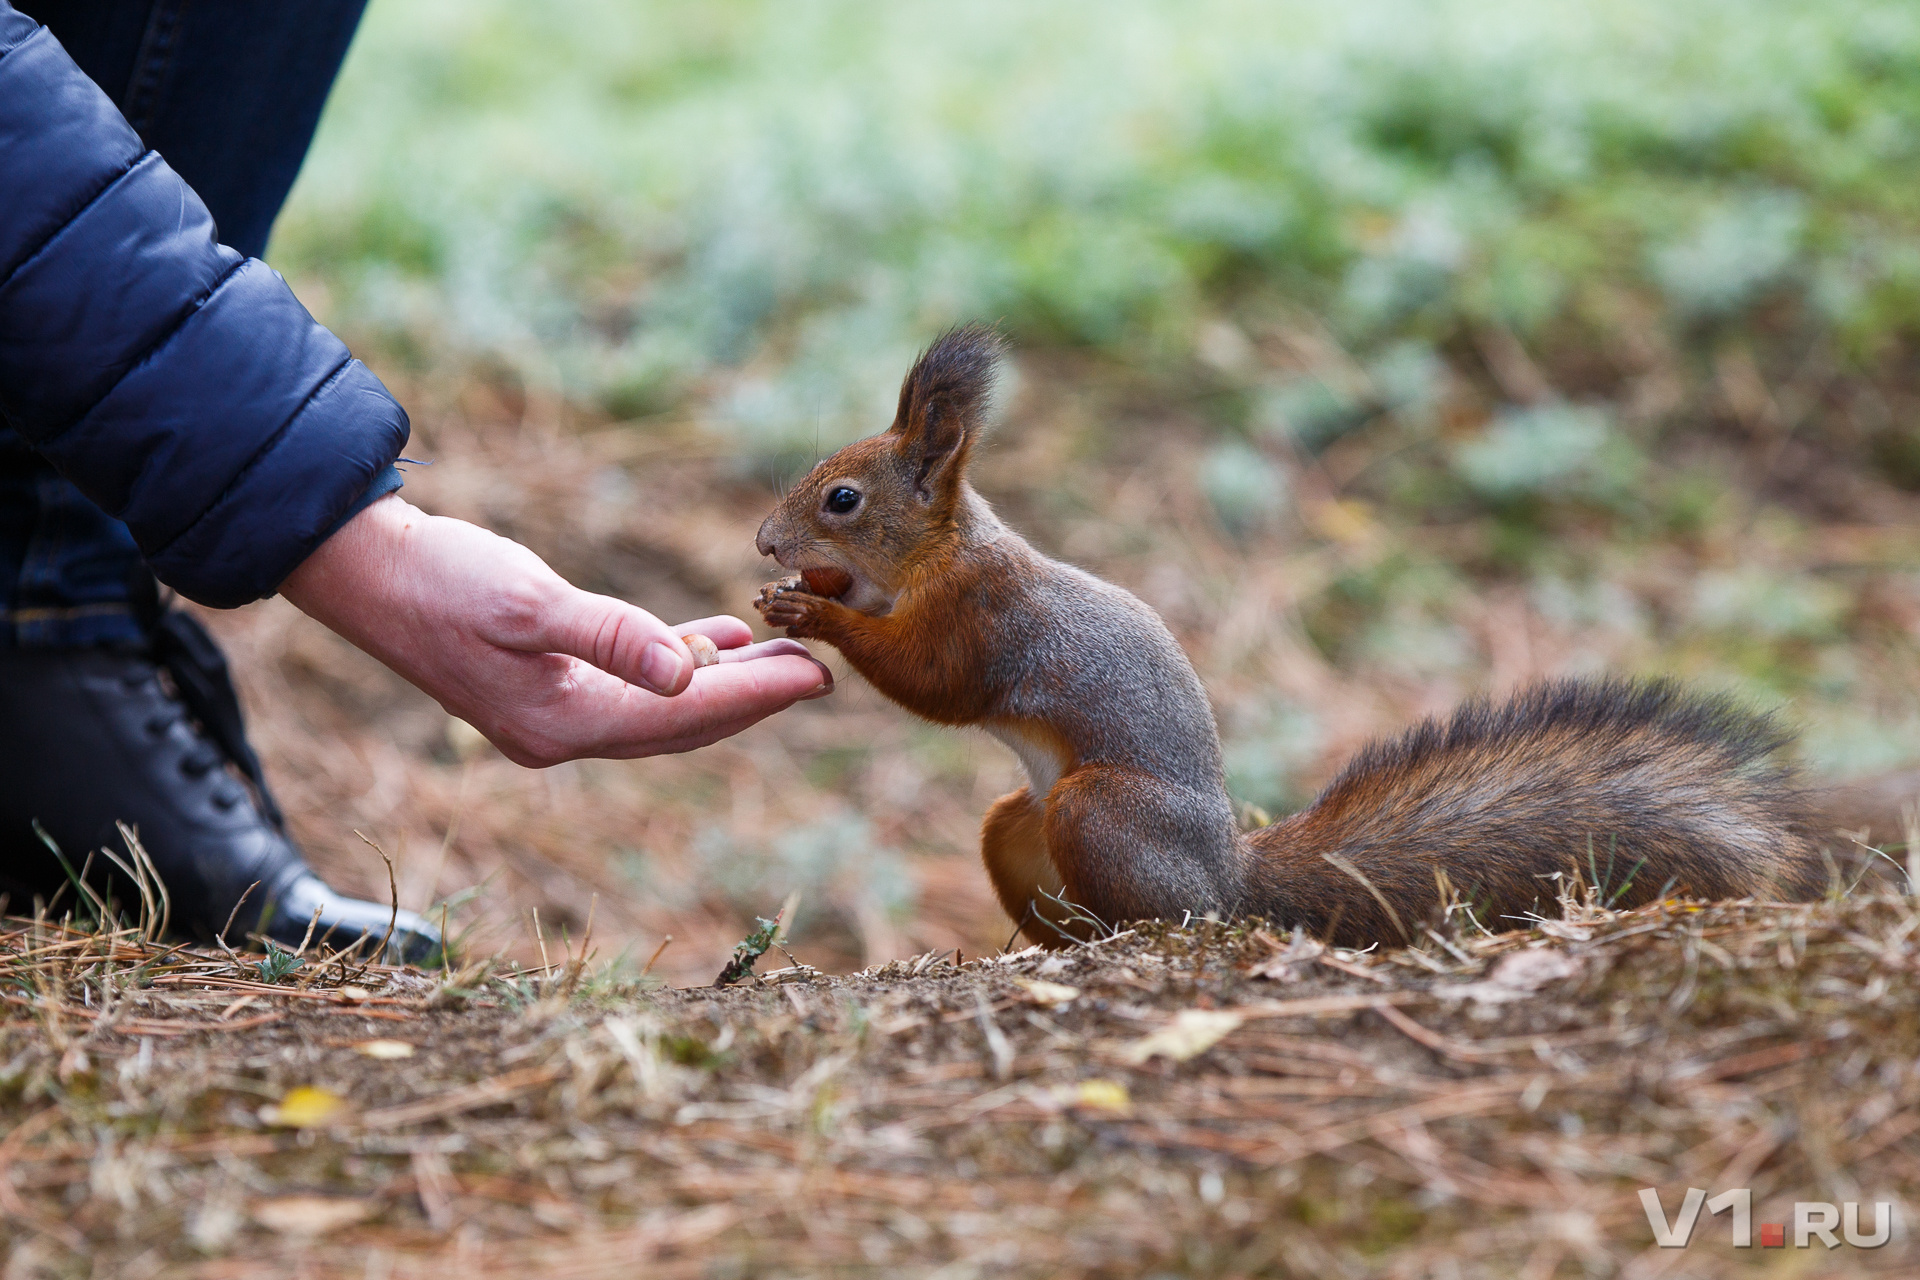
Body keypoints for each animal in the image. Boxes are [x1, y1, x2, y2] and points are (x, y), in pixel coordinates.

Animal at [741, 328, 1820, 951]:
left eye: (842, 499)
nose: (763, 541)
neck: (936, 557)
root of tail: (1230, 874)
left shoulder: (985, 616)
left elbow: (938, 683)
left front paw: (816, 613)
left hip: (1100, 807)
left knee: (1167, 915)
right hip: (1017, 822)